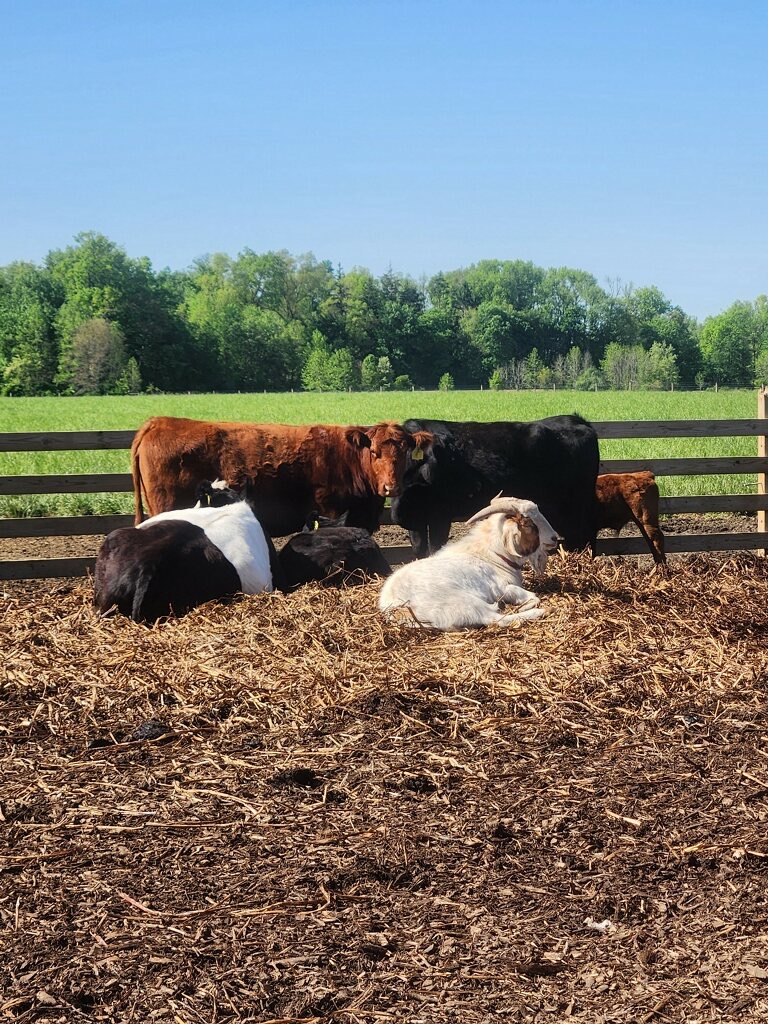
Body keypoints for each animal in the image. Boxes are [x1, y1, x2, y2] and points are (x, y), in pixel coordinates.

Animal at [379, 496, 560, 630]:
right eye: (528, 524)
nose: (554, 538)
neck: (491, 556)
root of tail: (395, 606)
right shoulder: (502, 588)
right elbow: (533, 596)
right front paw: (526, 606)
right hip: (464, 604)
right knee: (495, 619)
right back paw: (539, 612)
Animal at [389, 415, 599, 558]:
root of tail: (575, 419)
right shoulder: (417, 521)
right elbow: (419, 549)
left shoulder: (440, 516)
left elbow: (435, 547)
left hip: (575, 505)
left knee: (583, 536)